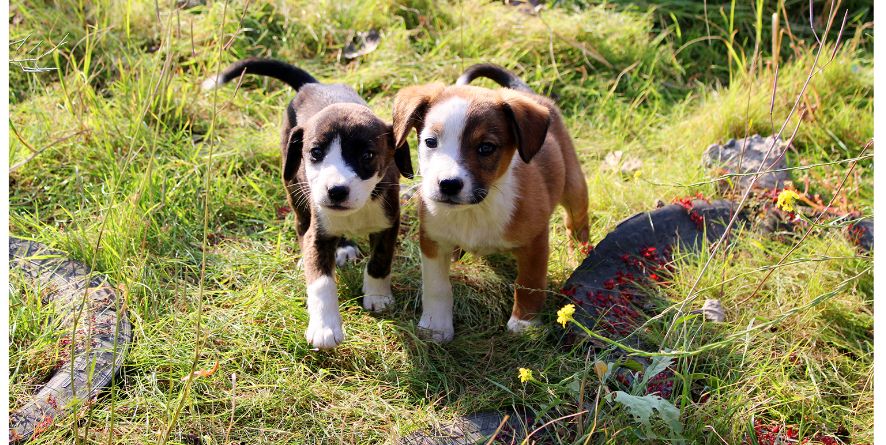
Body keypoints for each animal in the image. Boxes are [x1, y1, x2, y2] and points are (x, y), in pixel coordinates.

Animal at [204, 59, 412, 348]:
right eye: (315, 153)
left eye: (367, 156)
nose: (336, 191)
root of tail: (314, 85)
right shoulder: (319, 232)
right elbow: (321, 282)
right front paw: (325, 327)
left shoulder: (388, 222)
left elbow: (380, 261)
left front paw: (378, 296)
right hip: (293, 184)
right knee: (301, 223)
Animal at [394, 63, 588, 340]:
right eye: (430, 142)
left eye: (486, 148)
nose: (448, 184)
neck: (475, 210)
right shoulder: (432, 241)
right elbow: (436, 287)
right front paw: (436, 326)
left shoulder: (535, 243)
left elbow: (529, 283)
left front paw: (524, 323)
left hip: (574, 189)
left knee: (577, 224)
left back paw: (581, 255)